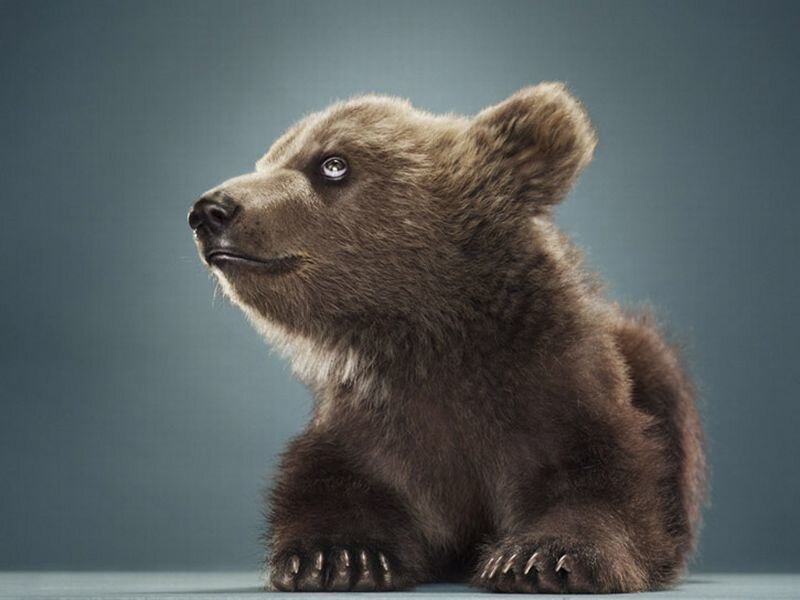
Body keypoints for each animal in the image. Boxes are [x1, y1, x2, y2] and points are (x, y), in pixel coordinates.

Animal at [188, 82, 705, 593]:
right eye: (269, 159)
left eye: (333, 163)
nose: (209, 210)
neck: (429, 334)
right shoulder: (371, 422)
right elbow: (331, 482)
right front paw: (341, 557)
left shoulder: (558, 394)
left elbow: (603, 481)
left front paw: (540, 558)